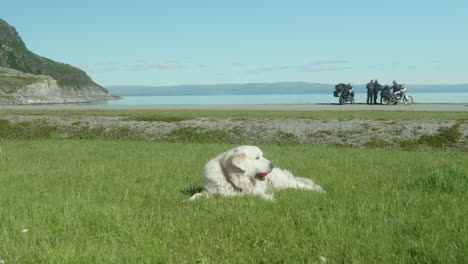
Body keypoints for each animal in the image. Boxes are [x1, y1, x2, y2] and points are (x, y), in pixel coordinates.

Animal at [190, 146, 326, 200]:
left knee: (304, 185)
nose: (272, 164)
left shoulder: (255, 191)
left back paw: (320, 191)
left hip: (284, 182)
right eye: (257, 158)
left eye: (262, 156)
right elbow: (197, 195)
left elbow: (261, 196)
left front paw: (271, 200)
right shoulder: (210, 192)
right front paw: (189, 200)